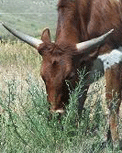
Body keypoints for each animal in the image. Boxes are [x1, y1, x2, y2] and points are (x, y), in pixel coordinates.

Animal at [1, 0, 122, 148]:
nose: (55, 115)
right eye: (43, 77)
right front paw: (75, 133)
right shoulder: (83, 67)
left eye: (69, 76)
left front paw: (115, 143)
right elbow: (79, 102)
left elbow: (112, 100)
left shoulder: (113, 57)